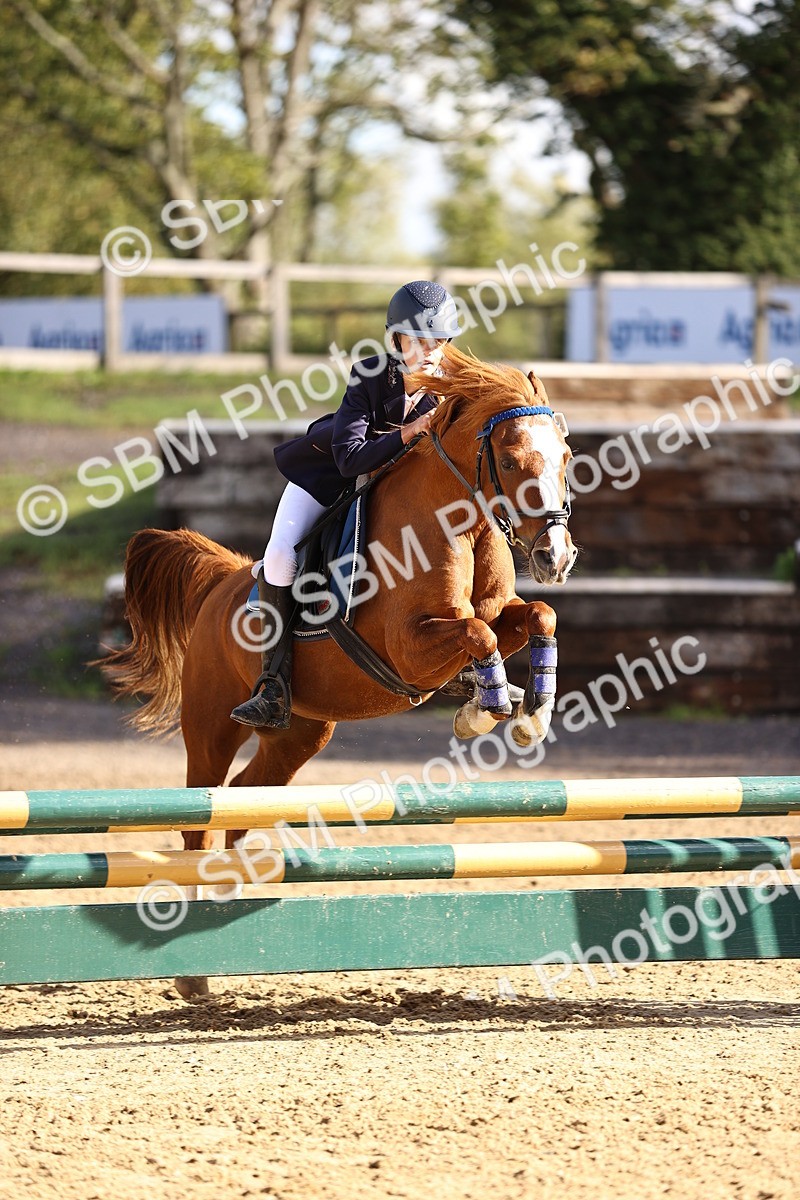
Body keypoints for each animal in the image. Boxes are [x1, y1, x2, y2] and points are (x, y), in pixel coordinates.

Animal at [103, 345, 576, 997]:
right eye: (508, 460)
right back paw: (192, 974)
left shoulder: (495, 614)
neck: (457, 521)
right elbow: (478, 635)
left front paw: (526, 713)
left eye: (566, 457)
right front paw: (482, 713)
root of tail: (222, 582)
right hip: (211, 725)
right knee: (199, 817)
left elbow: (537, 616)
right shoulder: (409, 646)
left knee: (242, 804)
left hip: (303, 731)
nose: (556, 557)